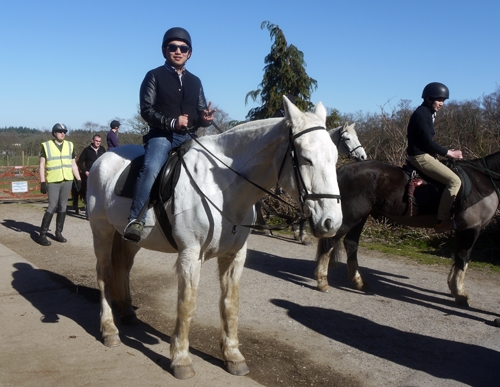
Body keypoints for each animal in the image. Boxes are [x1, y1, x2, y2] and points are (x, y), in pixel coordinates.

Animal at [87, 96, 344, 378]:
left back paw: (126, 312)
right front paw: (181, 359)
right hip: (102, 230)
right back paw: (109, 329)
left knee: (123, 267)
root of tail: (103, 159)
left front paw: (232, 356)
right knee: (105, 273)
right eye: (306, 159)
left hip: (130, 239)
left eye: (334, 158)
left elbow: (230, 304)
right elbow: (187, 304)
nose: (331, 222)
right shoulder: (190, 255)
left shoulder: (235, 256)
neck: (223, 187)